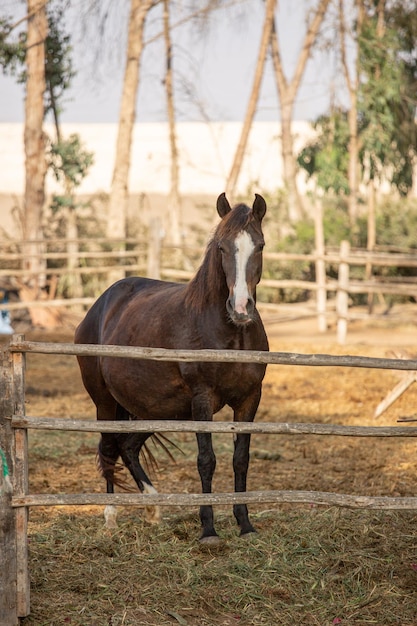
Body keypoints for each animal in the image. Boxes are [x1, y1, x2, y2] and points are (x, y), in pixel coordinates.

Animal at [75, 193, 268, 540]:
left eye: (259, 246)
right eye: (221, 247)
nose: (241, 308)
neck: (231, 333)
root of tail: (99, 306)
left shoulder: (249, 399)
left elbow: (241, 460)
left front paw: (245, 524)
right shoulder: (202, 400)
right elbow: (206, 460)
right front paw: (208, 530)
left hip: (149, 408)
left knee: (128, 447)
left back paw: (153, 506)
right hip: (105, 402)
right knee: (109, 448)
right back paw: (110, 517)